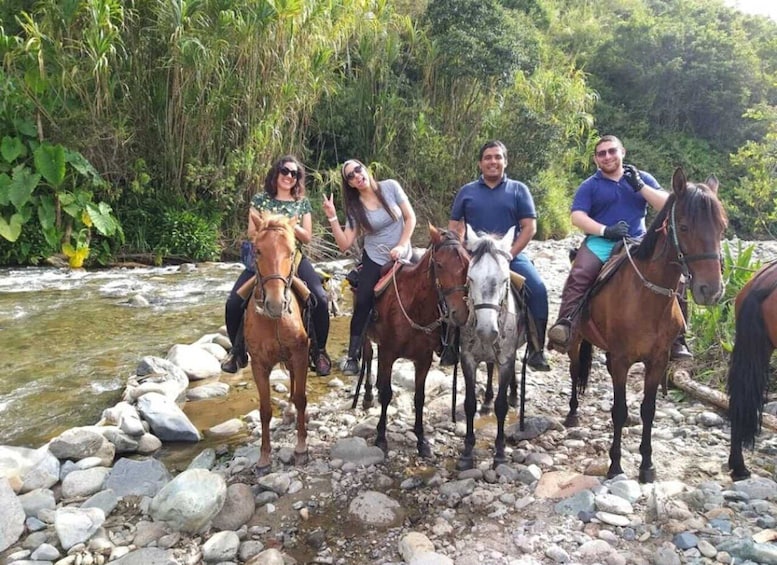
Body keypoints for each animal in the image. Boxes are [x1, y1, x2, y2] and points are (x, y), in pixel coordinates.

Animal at [358, 223, 466, 456]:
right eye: (440, 265)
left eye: (468, 262)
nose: (460, 313)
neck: (414, 307)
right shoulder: (388, 353)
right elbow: (387, 394)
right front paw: (381, 437)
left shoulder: (423, 359)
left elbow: (419, 397)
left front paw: (421, 440)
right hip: (367, 338)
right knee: (368, 358)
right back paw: (368, 396)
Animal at [458, 227, 524, 470]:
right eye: (470, 278)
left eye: (504, 279)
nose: (487, 332)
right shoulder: (467, 359)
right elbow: (469, 403)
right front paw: (468, 450)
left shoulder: (505, 359)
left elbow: (501, 406)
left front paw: (500, 451)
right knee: (488, 366)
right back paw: (486, 401)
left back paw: (514, 395)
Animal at [564, 167, 728, 480]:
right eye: (684, 227)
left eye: (722, 228)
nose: (711, 290)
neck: (645, 297)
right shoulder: (621, 360)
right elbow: (618, 409)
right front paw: (615, 465)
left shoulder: (658, 360)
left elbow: (648, 409)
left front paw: (647, 465)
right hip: (576, 339)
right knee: (575, 370)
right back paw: (572, 413)